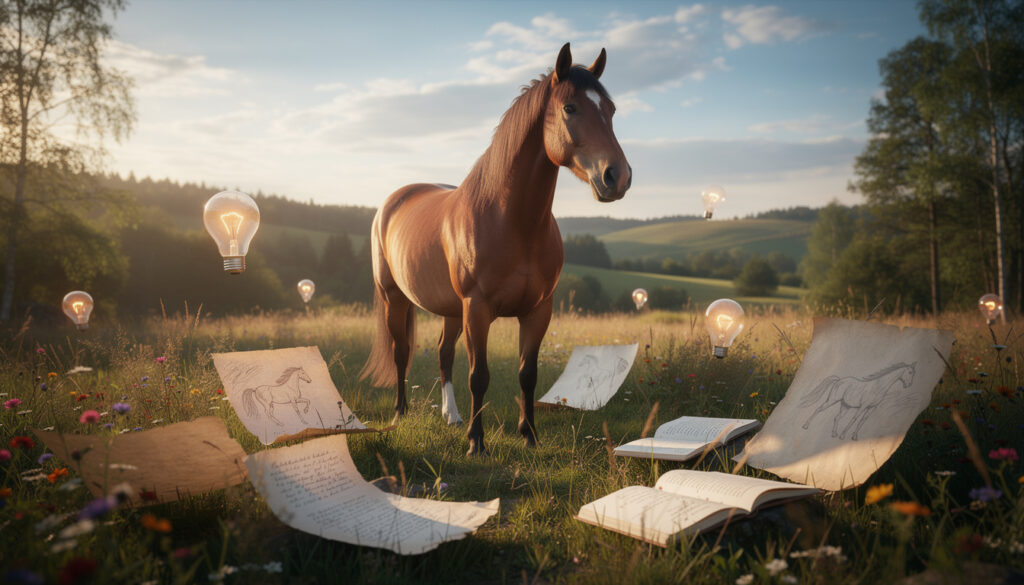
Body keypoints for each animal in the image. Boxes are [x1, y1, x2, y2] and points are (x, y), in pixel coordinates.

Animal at [360, 43, 632, 455]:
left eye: (612, 110)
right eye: (570, 108)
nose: (617, 177)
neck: (513, 223)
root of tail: (395, 199)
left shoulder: (538, 311)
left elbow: (527, 373)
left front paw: (529, 435)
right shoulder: (478, 309)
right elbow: (479, 375)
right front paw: (477, 443)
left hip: (451, 310)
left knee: (443, 353)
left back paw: (452, 417)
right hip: (397, 298)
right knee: (401, 352)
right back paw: (401, 413)